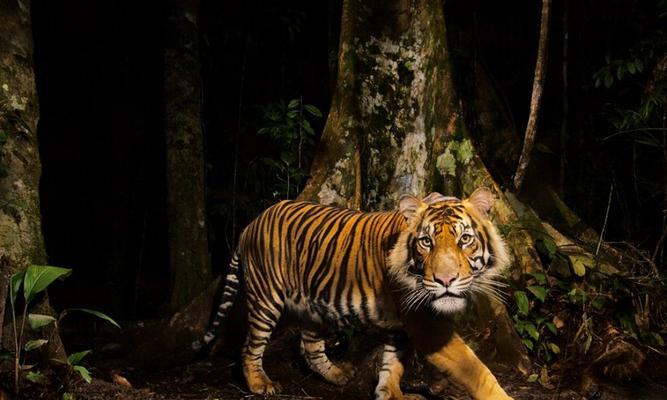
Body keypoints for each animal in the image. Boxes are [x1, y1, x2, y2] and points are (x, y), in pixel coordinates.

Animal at [196, 188, 516, 400]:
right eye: (426, 242)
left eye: (465, 239)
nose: (445, 279)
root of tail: (250, 224)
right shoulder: (425, 324)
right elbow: (475, 369)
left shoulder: (402, 325)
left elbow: (393, 364)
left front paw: (392, 393)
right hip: (266, 298)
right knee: (250, 346)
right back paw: (260, 384)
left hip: (314, 306)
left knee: (309, 346)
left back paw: (338, 374)